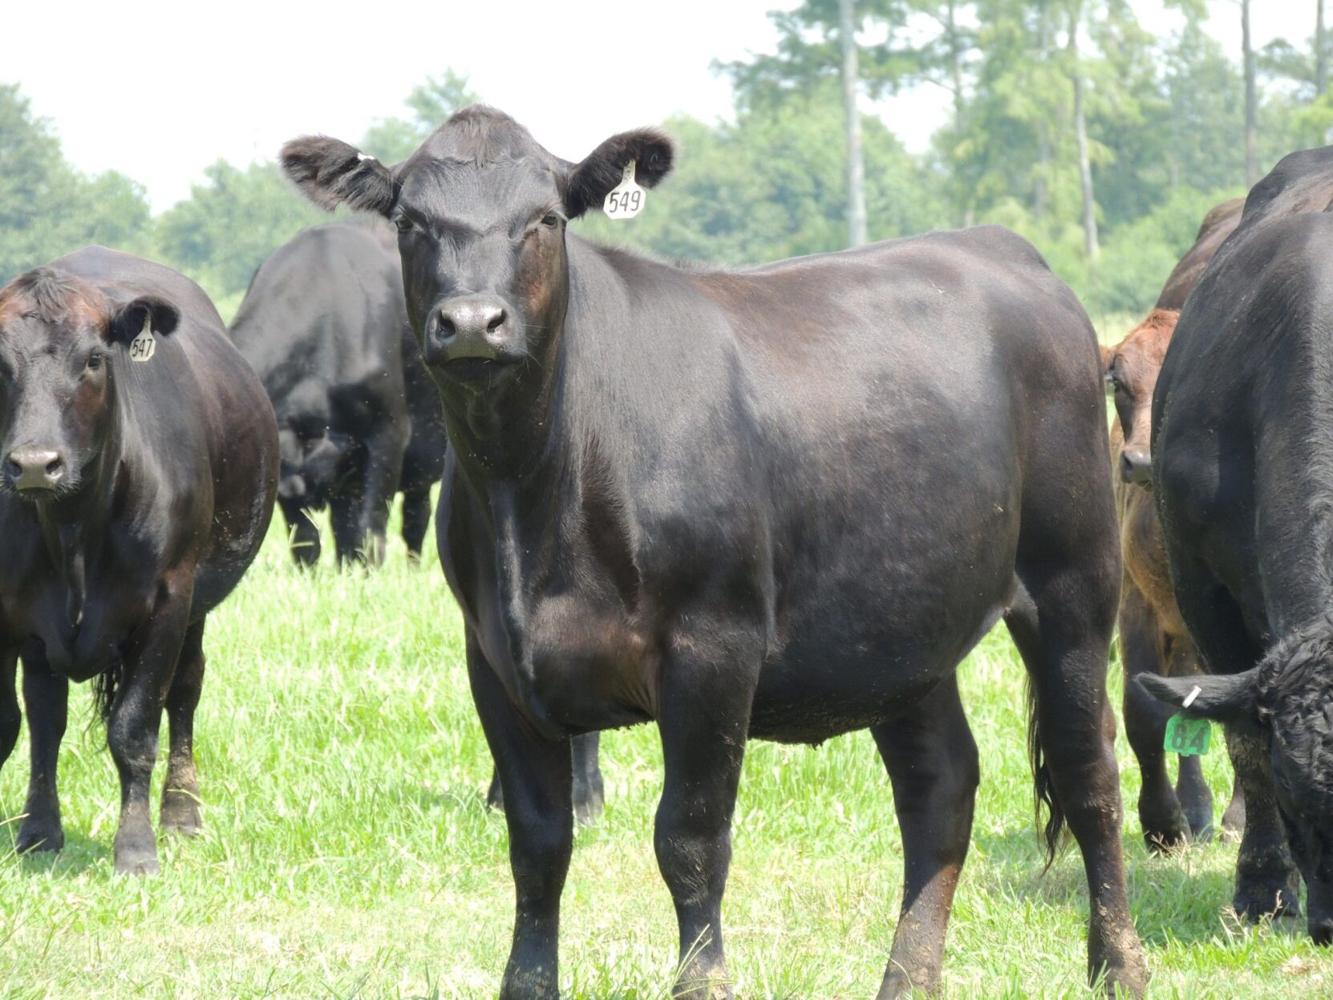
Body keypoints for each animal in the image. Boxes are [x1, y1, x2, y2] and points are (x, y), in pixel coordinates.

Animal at [0, 247, 277, 875]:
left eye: (94, 359)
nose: (34, 464)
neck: (73, 530)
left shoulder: (167, 603)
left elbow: (134, 730)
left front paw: (135, 848)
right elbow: (19, 726)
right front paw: (37, 834)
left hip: (197, 607)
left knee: (185, 691)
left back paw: (181, 813)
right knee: (47, 716)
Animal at [281, 106, 1146, 999]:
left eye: (546, 218)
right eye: (409, 222)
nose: (471, 323)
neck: (534, 485)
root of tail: (996, 244)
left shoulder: (713, 648)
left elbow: (689, 840)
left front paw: (703, 980)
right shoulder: (493, 662)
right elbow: (538, 845)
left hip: (1071, 583)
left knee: (1088, 773)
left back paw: (1117, 964)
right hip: (900, 627)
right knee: (938, 785)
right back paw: (908, 978)